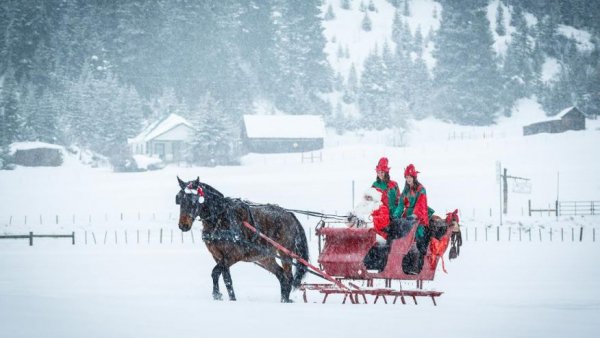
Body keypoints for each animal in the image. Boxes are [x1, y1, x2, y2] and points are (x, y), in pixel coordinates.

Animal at [175, 177, 310, 304]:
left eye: (194, 200)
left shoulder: (234, 255)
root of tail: (289, 214)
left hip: (285, 252)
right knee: (282, 275)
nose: (183, 225)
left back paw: (286, 300)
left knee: (288, 276)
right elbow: (226, 279)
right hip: (265, 256)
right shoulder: (218, 256)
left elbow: (215, 272)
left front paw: (217, 295)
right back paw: (283, 299)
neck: (220, 217)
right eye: (179, 199)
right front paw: (231, 298)